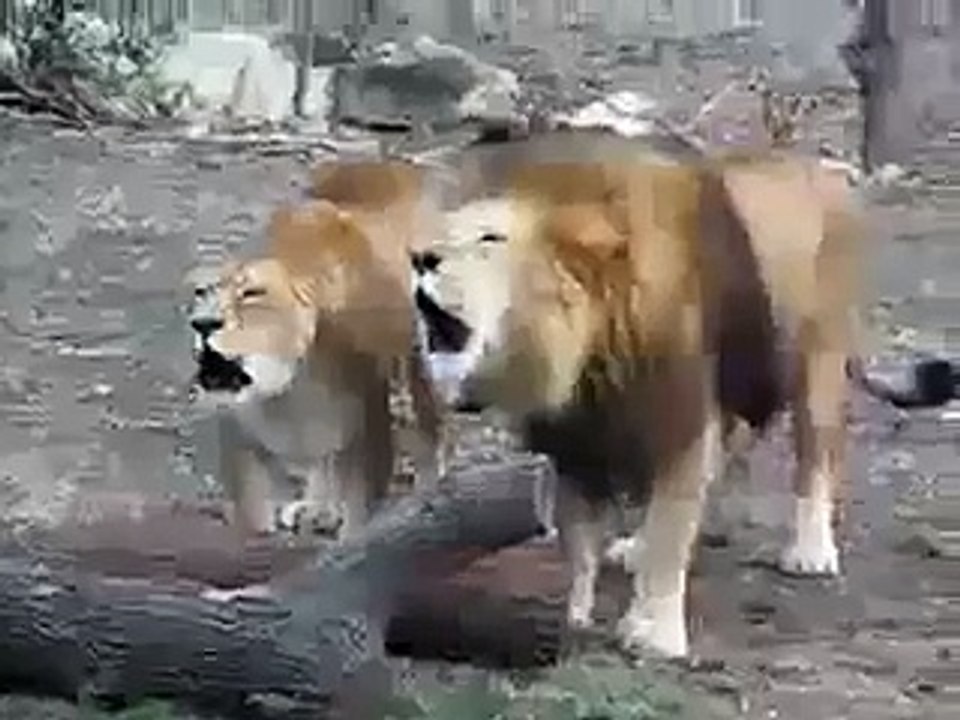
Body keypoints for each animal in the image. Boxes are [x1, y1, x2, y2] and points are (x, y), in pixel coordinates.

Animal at [187, 161, 449, 539]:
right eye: (201, 292)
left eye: (252, 294)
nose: (202, 323)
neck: (286, 390)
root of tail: (382, 162)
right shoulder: (241, 445)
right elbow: (252, 517)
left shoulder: (367, 431)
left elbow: (358, 520)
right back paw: (316, 509)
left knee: (428, 422)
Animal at [413, 152, 863, 658]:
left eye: (490, 238)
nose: (419, 258)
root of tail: (825, 169)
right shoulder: (577, 444)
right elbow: (579, 540)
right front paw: (573, 618)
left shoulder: (680, 423)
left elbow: (670, 529)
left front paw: (654, 635)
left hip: (819, 360)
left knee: (817, 456)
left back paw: (811, 553)